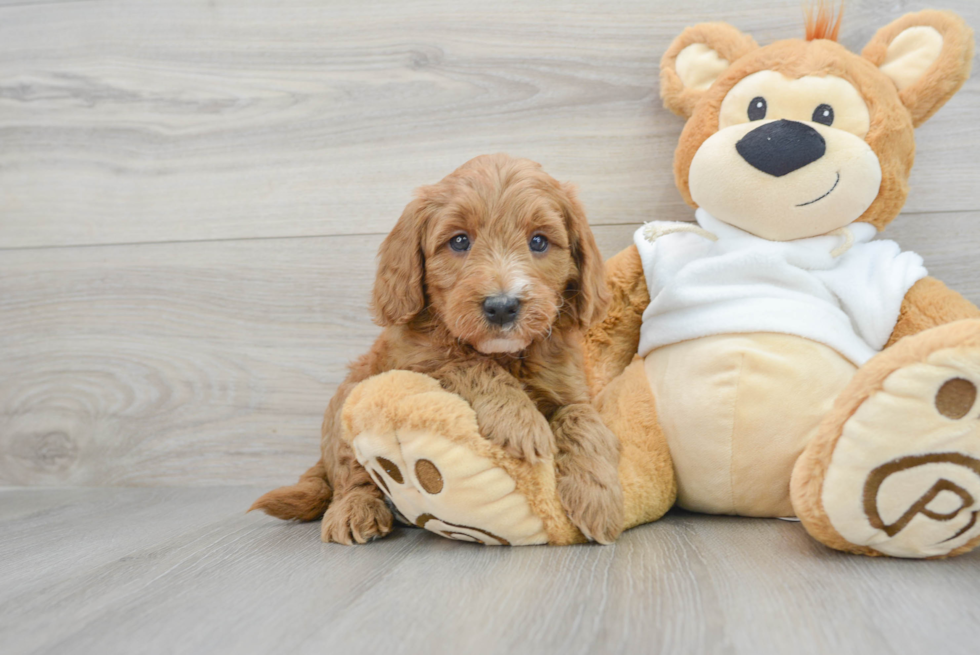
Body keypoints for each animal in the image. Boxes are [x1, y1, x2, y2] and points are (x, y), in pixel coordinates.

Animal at [251, 152, 620, 544]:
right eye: (459, 241)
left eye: (538, 241)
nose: (502, 306)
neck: (504, 353)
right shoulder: (417, 361)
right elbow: (467, 364)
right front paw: (520, 422)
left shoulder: (570, 386)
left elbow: (582, 419)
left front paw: (598, 497)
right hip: (348, 401)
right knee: (352, 474)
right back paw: (354, 510)